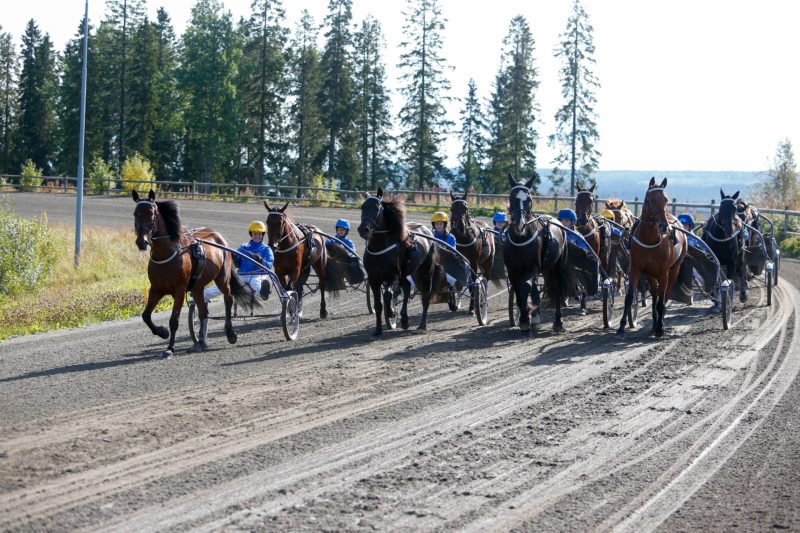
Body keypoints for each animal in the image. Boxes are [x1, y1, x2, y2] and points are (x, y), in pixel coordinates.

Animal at [131, 188, 256, 358]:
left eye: (151, 213)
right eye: (135, 213)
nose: (141, 241)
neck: (167, 253)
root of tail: (218, 236)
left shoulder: (179, 290)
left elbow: (174, 320)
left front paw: (170, 348)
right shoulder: (156, 289)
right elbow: (145, 316)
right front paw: (162, 332)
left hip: (222, 278)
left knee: (228, 299)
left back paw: (230, 333)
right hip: (197, 287)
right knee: (203, 311)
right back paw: (201, 342)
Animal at [360, 187, 438, 336]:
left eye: (377, 207)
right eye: (362, 207)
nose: (363, 230)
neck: (380, 249)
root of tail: (426, 230)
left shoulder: (393, 275)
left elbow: (387, 295)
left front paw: (390, 312)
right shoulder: (373, 279)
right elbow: (378, 305)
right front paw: (378, 330)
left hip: (425, 272)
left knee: (425, 297)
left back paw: (422, 325)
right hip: (406, 273)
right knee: (407, 287)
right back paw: (405, 320)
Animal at [504, 174, 572, 332]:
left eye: (529, 199)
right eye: (511, 197)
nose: (520, 225)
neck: (521, 238)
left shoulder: (533, 267)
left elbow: (525, 287)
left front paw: (525, 319)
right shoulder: (512, 270)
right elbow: (518, 290)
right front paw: (525, 316)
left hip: (557, 266)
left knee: (557, 287)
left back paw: (558, 322)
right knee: (535, 290)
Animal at [620, 178, 688, 336]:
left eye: (666, 199)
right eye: (651, 199)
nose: (664, 226)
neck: (649, 240)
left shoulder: (663, 273)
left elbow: (661, 301)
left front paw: (660, 328)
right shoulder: (636, 268)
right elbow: (629, 297)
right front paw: (621, 326)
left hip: (674, 269)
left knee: (665, 295)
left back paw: (659, 322)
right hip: (651, 273)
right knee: (655, 293)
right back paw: (654, 322)